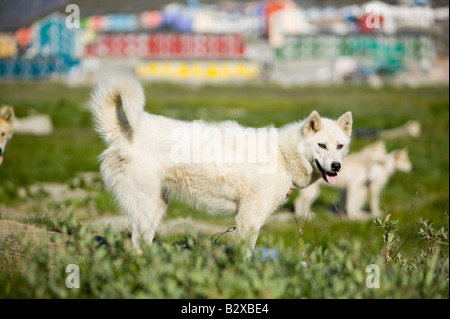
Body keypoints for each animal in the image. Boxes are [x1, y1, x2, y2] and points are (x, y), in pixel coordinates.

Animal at [90, 74, 352, 256]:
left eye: (340, 146)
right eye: (321, 145)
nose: (336, 166)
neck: (283, 154)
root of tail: (124, 131)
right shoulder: (249, 219)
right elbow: (246, 255)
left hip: (157, 206)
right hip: (147, 205)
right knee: (136, 243)